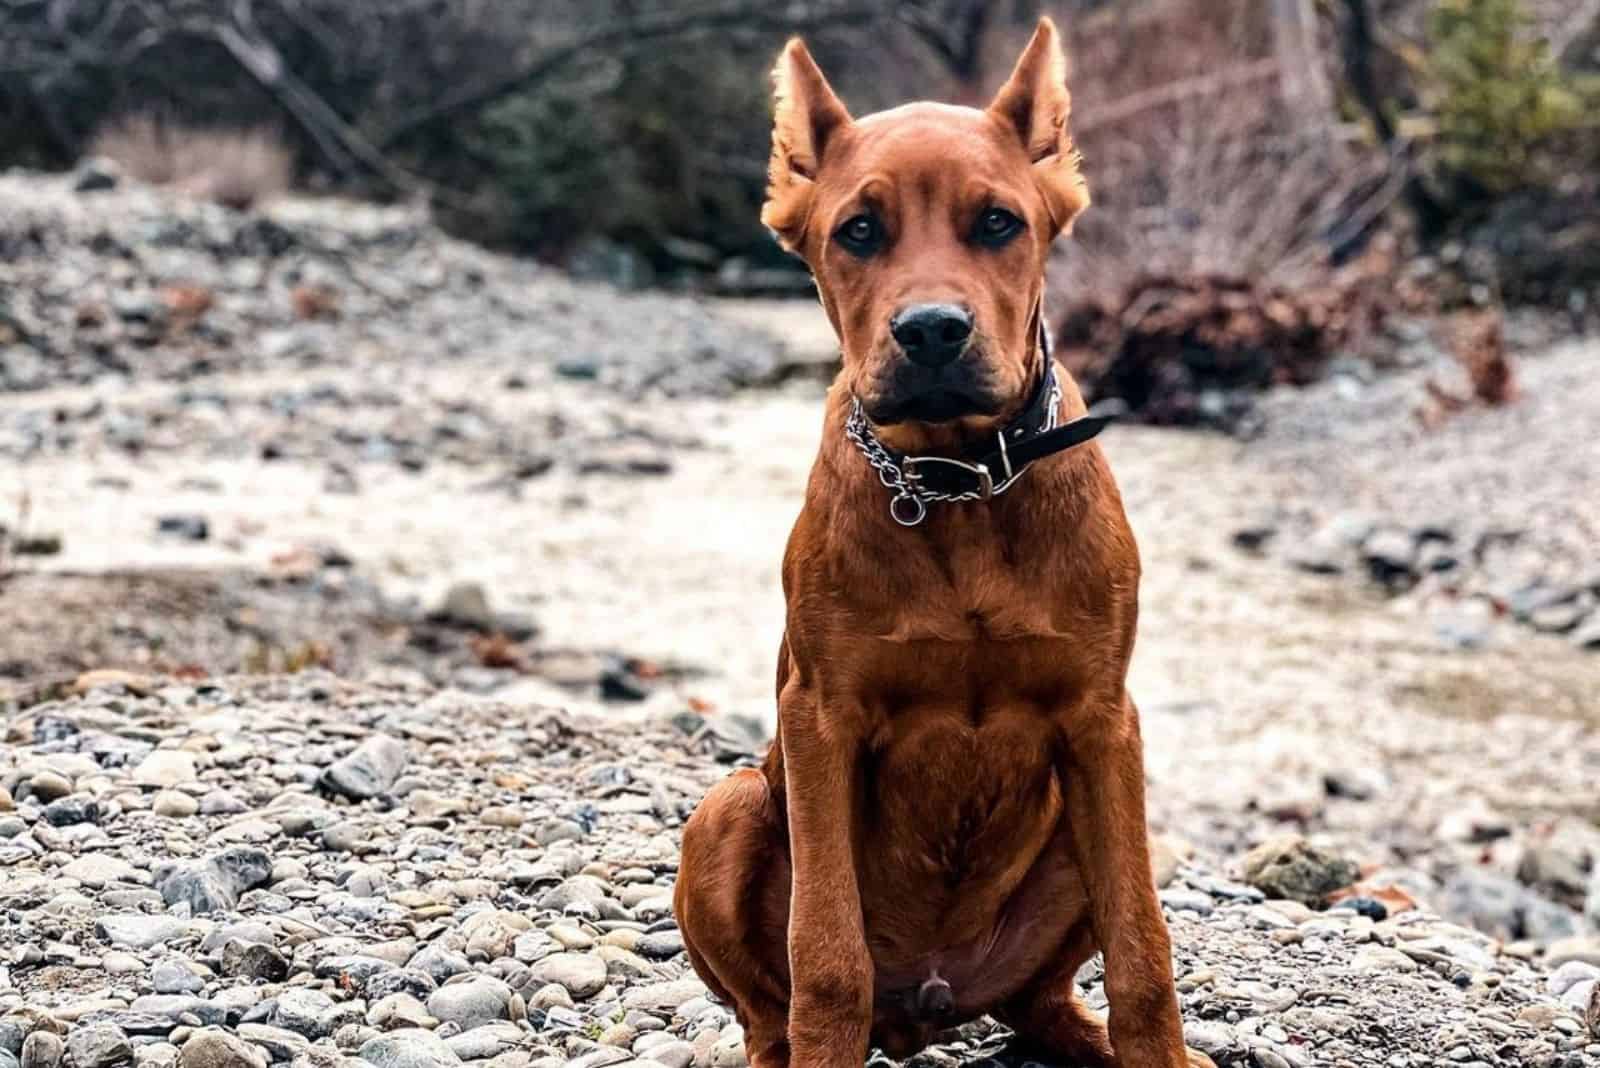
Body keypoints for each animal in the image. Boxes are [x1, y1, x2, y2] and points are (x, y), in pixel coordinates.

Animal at [672, 18, 1209, 1068]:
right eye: (858, 232)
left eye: (998, 224)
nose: (929, 332)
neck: (959, 484)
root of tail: (926, 1001)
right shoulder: (820, 720)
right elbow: (825, 957)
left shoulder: (1103, 724)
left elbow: (1143, 951)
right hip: (732, 807)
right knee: (767, 1011)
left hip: (1072, 844)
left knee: (1046, 999)